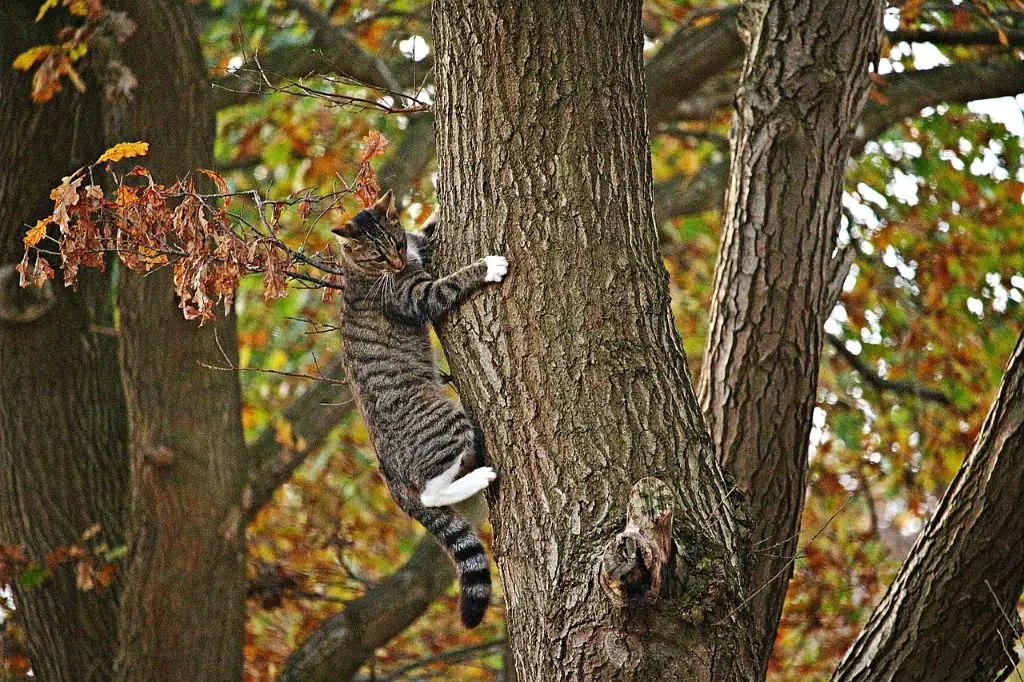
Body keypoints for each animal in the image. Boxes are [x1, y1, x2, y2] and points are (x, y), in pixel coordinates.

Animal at [331, 188, 507, 622]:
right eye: (377, 258)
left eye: (395, 245)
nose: (397, 262)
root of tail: (389, 475)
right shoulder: (415, 297)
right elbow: (447, 284)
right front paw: (486, 267)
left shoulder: (416, 244)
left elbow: (427, 229)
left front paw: (436, 207)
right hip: (445, 417)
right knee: (429, 493)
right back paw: (476, 478)